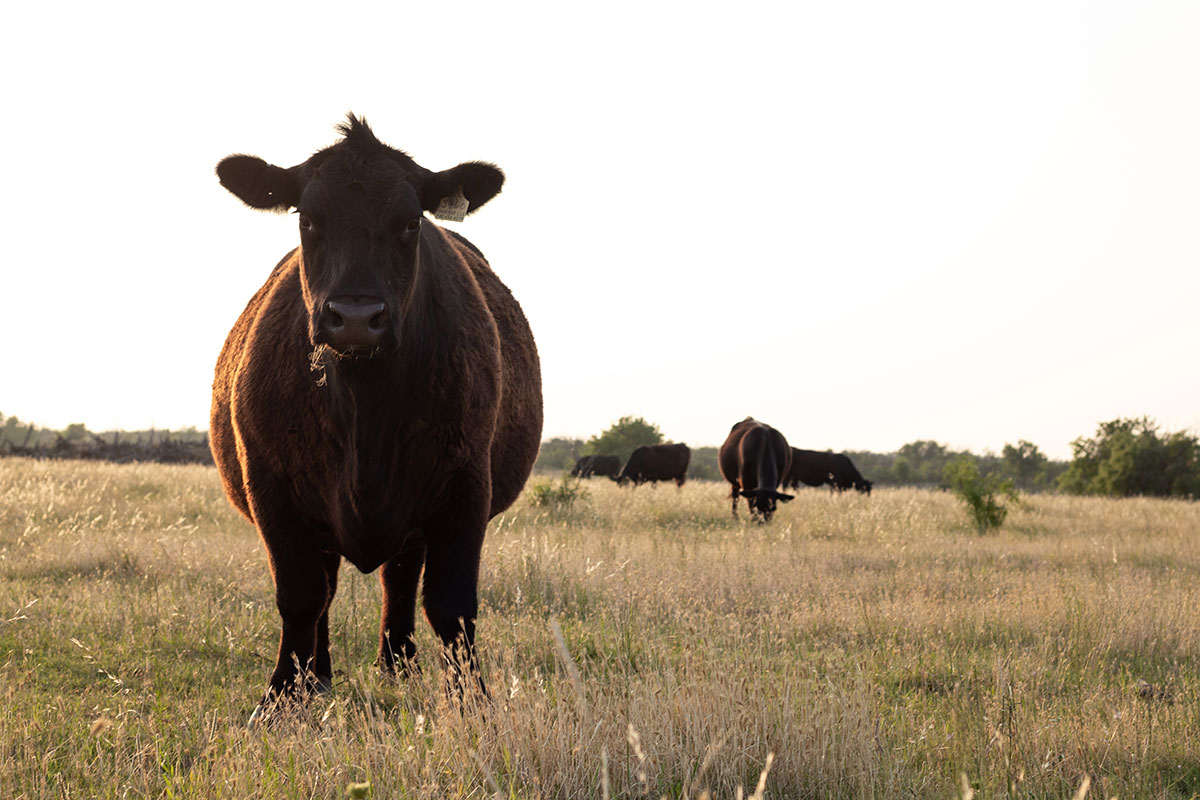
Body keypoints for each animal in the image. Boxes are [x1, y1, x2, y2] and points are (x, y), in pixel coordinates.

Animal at [208, 115, 542, 724]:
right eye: (307, 219)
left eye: (411, 221)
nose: (357, 317)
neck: (366, 408)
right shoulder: (271, 487)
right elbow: (300, 596)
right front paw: (280, 697)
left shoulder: (466, 485)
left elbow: (452, 604)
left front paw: (471, 701)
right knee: (329, 587)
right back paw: (317, 676)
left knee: (399, 577)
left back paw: (398, 664)